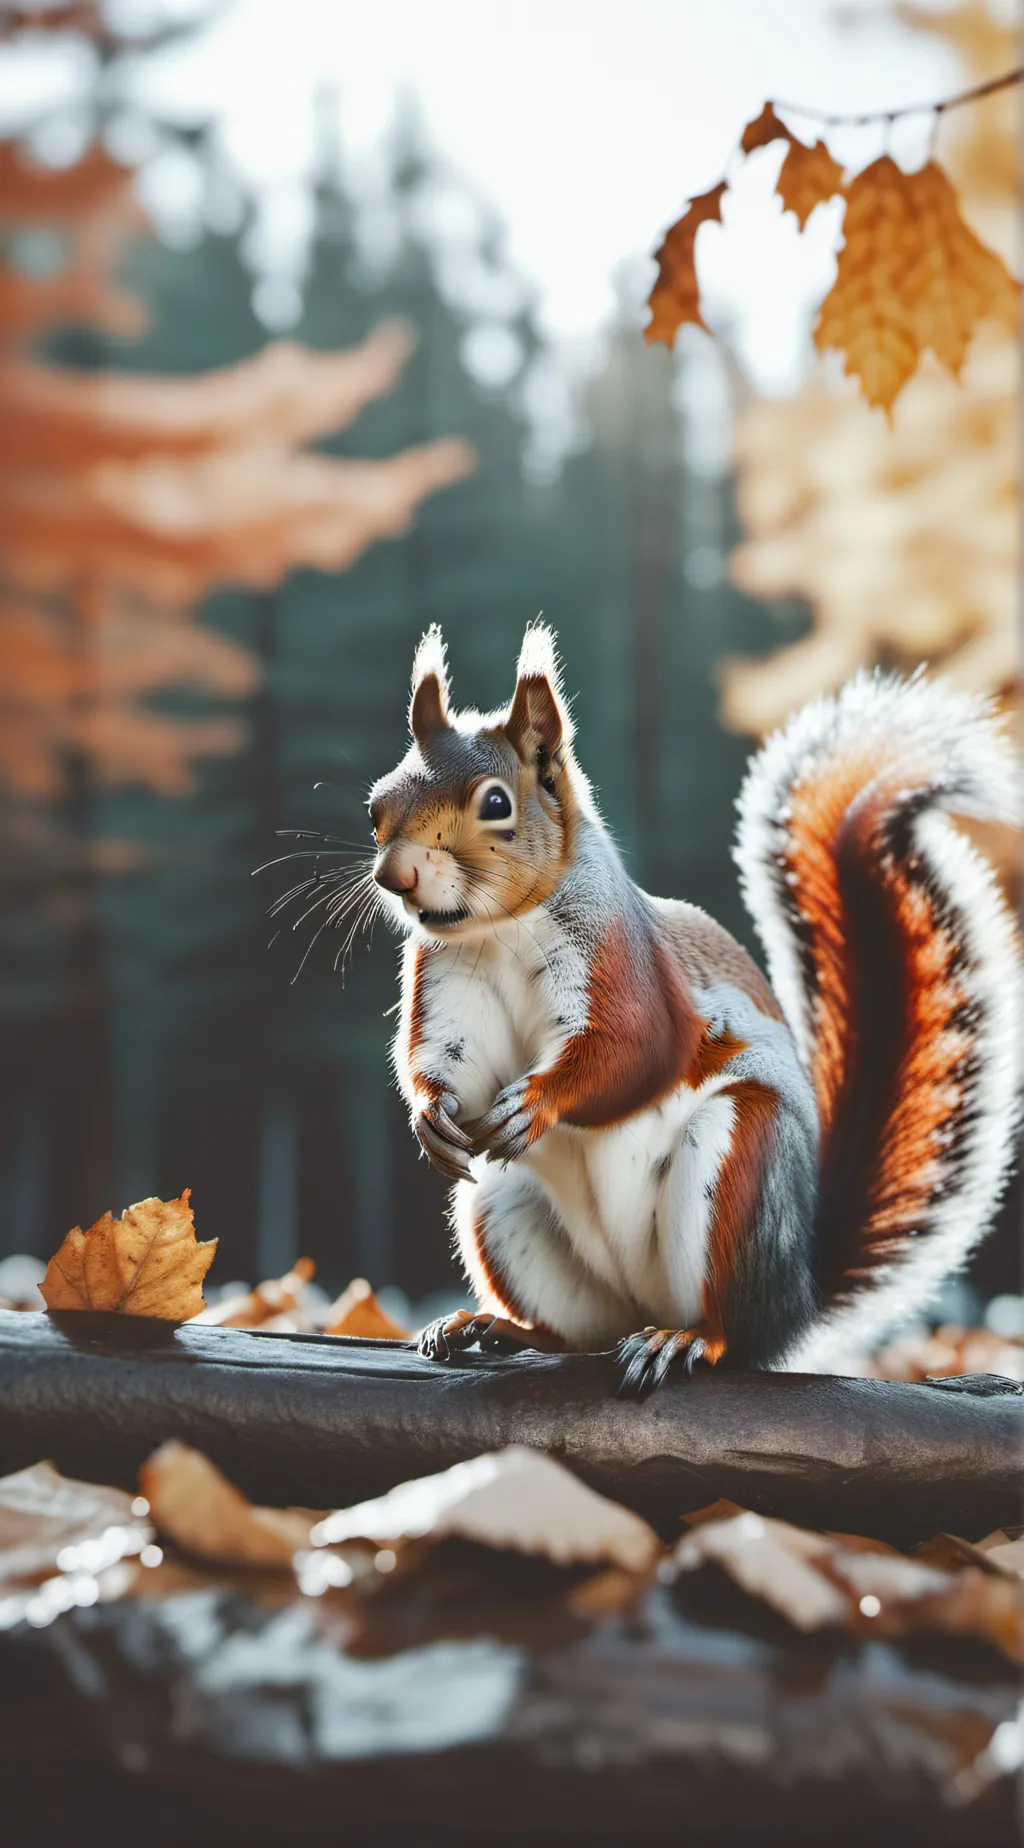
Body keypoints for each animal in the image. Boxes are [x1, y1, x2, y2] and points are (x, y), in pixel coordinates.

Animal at [367, 623, 1021, 1393]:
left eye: (496, 803)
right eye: (377, 804)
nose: (395, 876)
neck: (499, 932)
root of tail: (799, 1295)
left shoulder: (626, 964)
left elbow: (636, 1048)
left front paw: (538, 1101)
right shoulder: (450, 989)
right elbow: (447, 1065)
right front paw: (430, 1119)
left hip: (737, 1164)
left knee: (730, 1332)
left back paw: (684, 1339)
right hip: (502, 1203)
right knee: (576, 1336)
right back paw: (491, 1328)